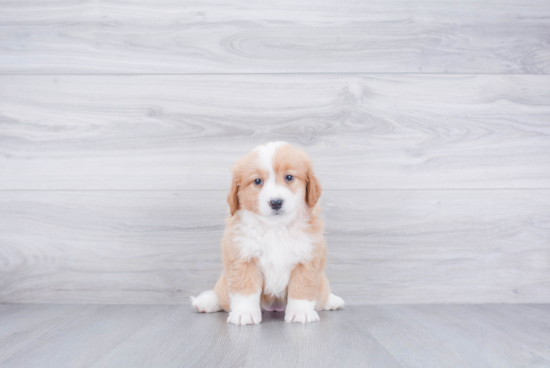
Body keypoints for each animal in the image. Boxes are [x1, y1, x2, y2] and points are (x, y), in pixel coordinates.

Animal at [192, 142, 342, 324]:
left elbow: (302, 288)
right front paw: (244, 314)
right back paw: (206, 302)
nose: (275, 202)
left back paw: (333, 300)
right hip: (224, 283)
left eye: (289, 177)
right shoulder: (243, 258)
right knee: (221, 294)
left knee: (322, 294)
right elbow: (245, 290)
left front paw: (301, 312)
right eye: (257, 181)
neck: (275, 227)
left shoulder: (308, 258)